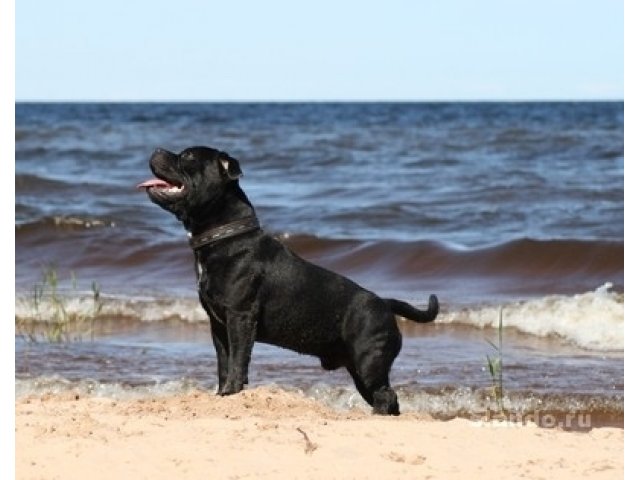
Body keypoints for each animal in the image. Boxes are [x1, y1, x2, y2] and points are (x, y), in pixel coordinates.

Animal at [138, 145, 440, 412]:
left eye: (188, 156)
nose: (156, 150)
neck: (226, 236)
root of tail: (385, 303)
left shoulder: (239, 317)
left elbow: (237, 361)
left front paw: (232, 392)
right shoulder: (218, 325)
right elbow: (224, 363)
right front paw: (222, 394)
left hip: (368, 364)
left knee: (386, 396)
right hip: (360, 368)